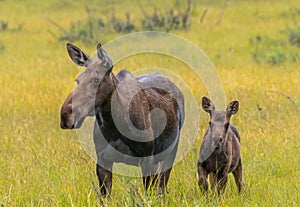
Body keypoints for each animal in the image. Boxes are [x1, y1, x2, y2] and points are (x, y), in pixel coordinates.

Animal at [59, 43, 184, 196]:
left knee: (162, 187)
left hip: (171, 152)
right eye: (77, 80)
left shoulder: (148, 159)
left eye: (96, 80)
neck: (114, 126)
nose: (66, 116)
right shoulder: (103, 161)